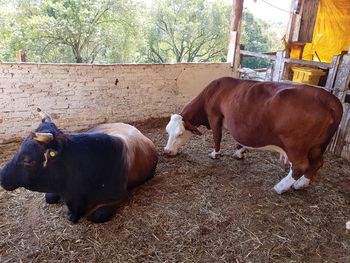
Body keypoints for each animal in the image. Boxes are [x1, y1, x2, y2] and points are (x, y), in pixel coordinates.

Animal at [164, 77, 342, 195]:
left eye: (180, 134)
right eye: (167, 131)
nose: (166, 151)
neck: (213, 91)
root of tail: (329, 98)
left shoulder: (214, 116)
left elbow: (217, 137)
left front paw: (215, 154)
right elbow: (240, 141)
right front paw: (239, 152)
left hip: (296, 145)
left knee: (300, 166)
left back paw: (281, 187)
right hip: (317, 146)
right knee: (317, 163)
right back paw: (301, 184)